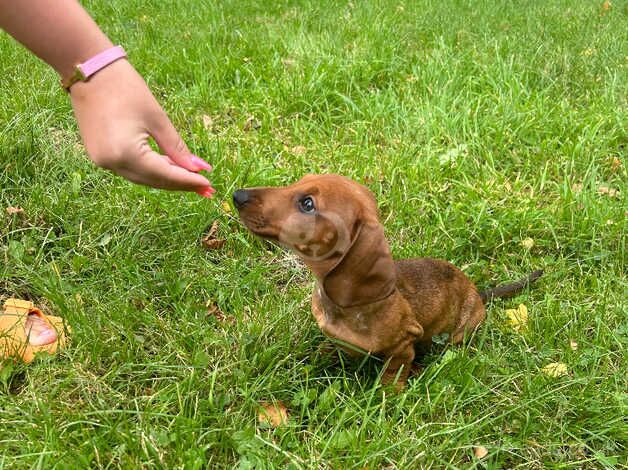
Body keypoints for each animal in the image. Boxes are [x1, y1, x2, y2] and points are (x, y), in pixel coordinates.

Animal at [233, 174, 544, 388]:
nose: (238, 195)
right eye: (299, 181)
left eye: (307, 204)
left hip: (460, 333)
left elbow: (393, 371)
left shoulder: (404, 343)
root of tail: (478, 294)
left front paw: (390, 394)